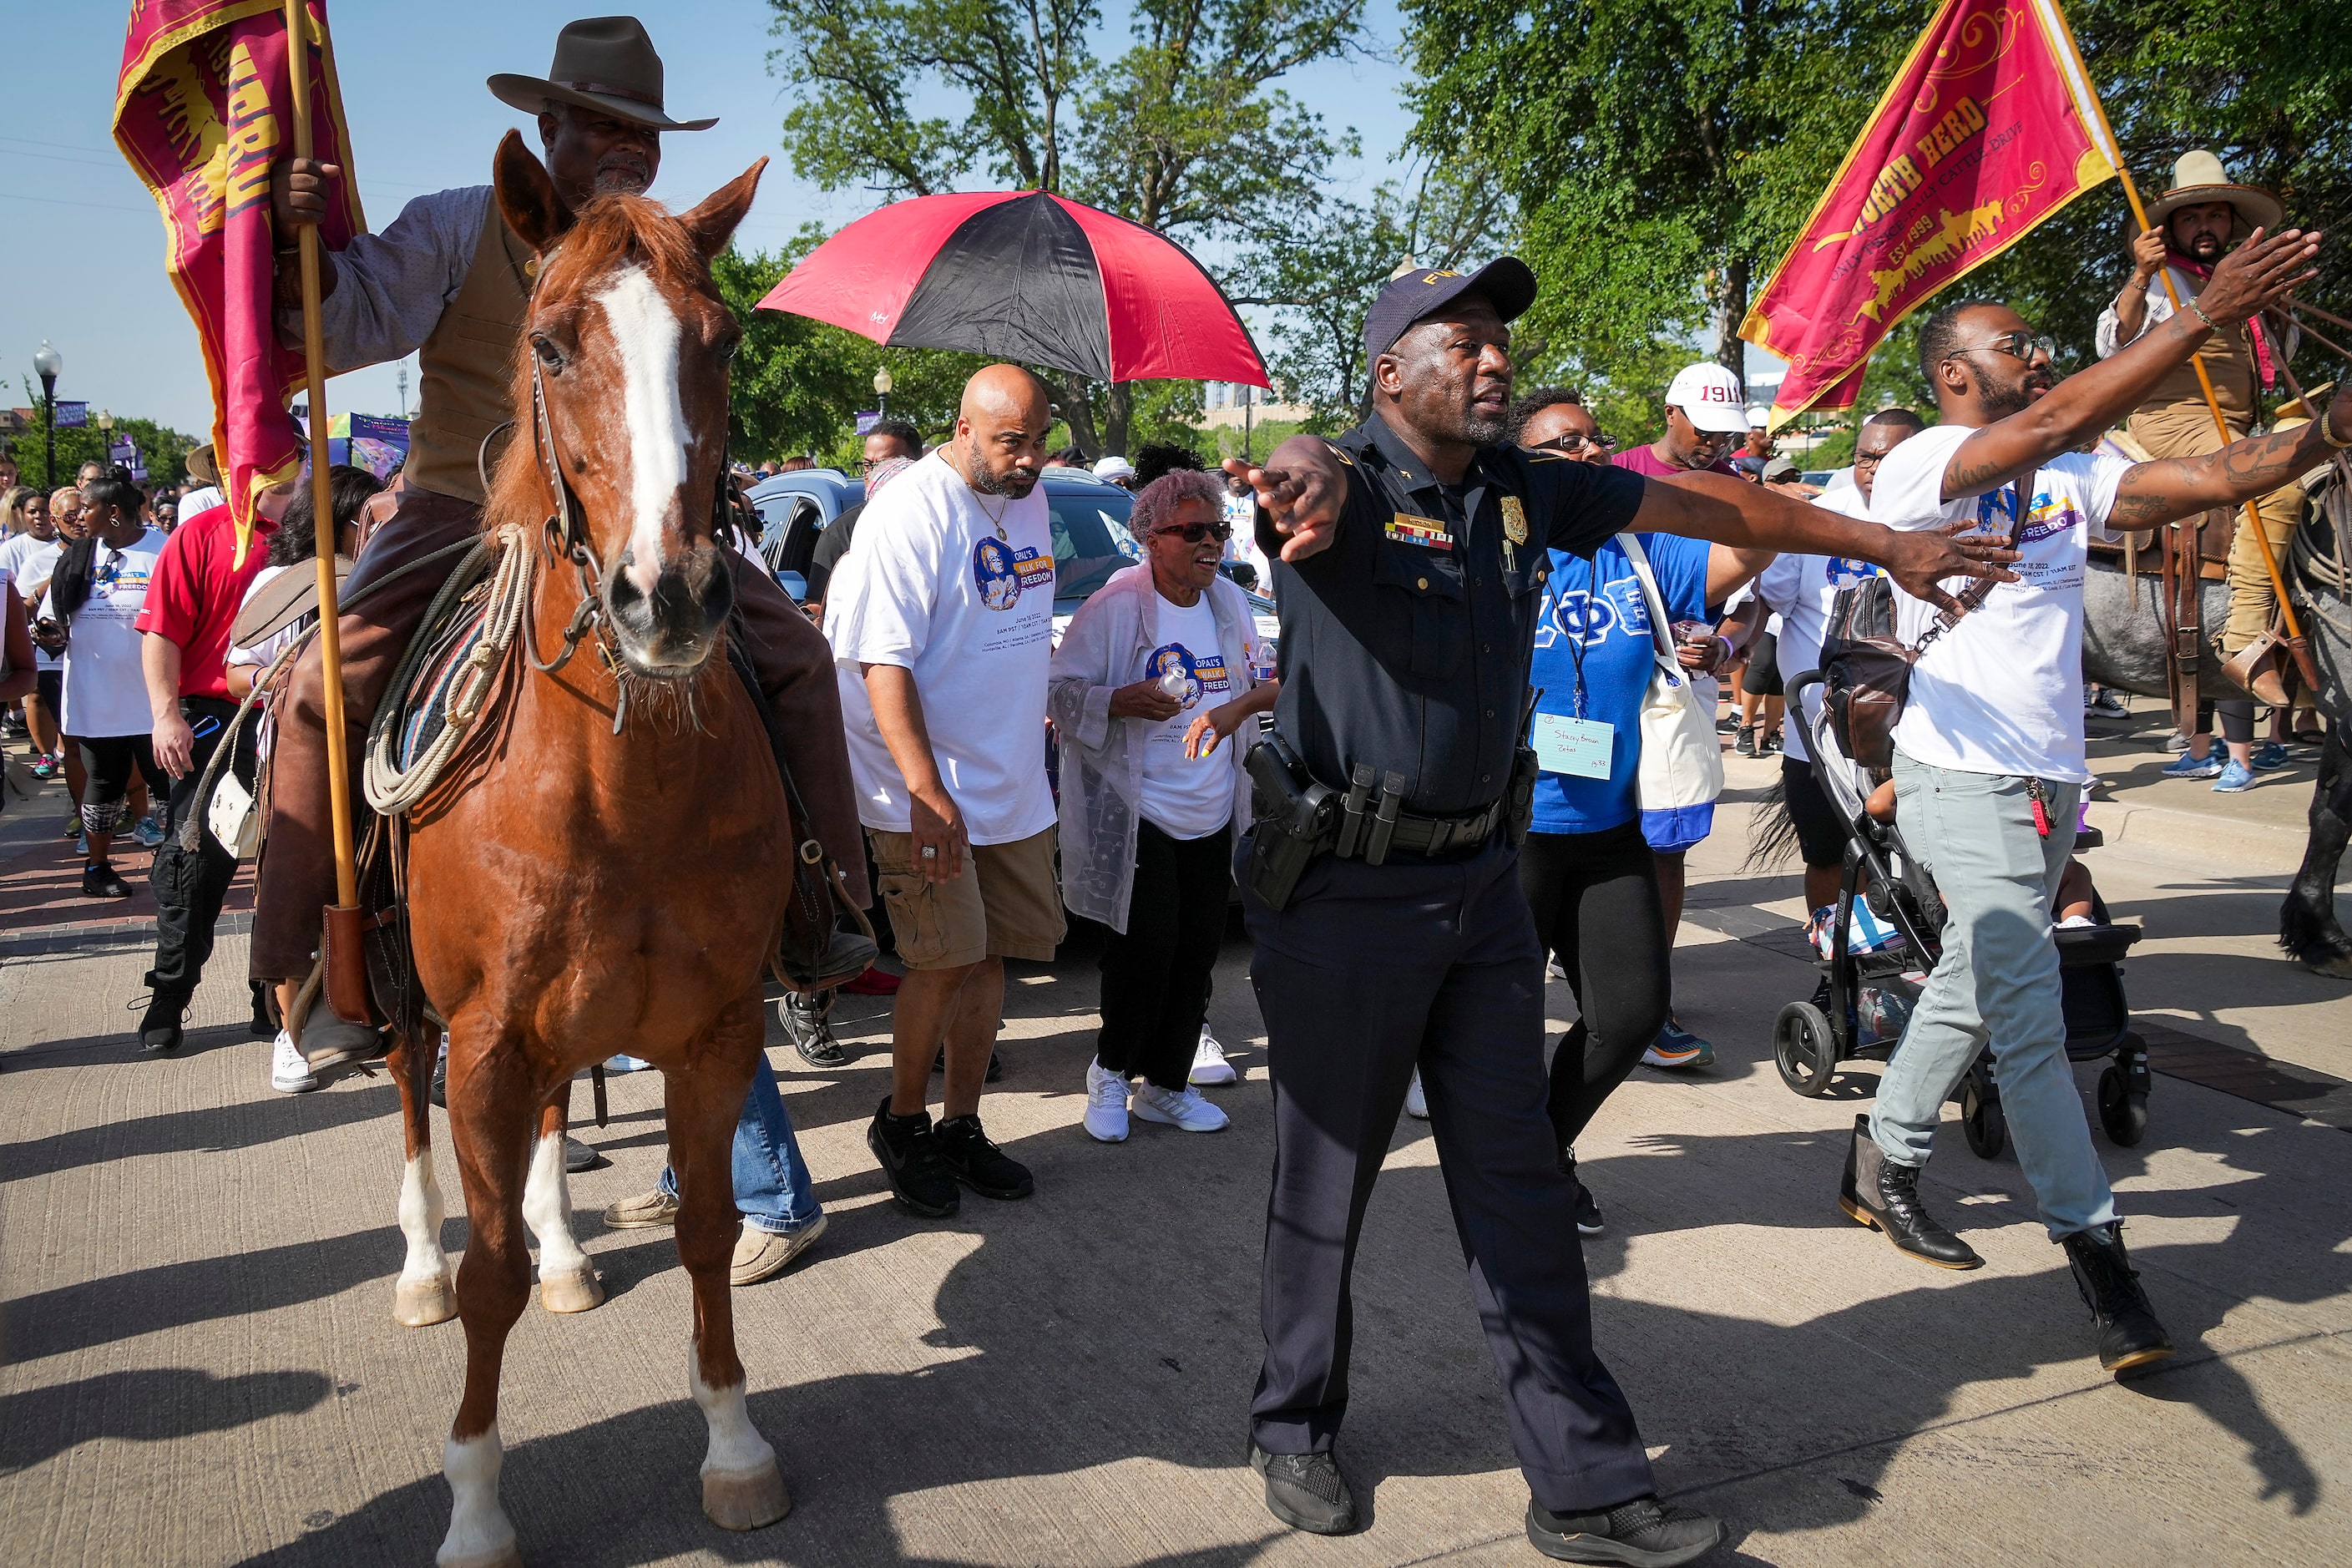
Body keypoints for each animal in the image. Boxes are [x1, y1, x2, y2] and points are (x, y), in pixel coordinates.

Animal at [387, 138, 790, 1568]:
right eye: (554, 345)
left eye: (723, 341)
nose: (668, 595)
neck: (625, 791)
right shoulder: (485, 1042)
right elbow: (489, 1272)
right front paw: (473, 1503)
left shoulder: (715, 1027)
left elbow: (713, 1229)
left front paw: (732, 1441)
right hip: (400, 997)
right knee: (406, 1111)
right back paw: (416, 1266)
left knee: (562, 1131)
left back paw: (567, 1244)